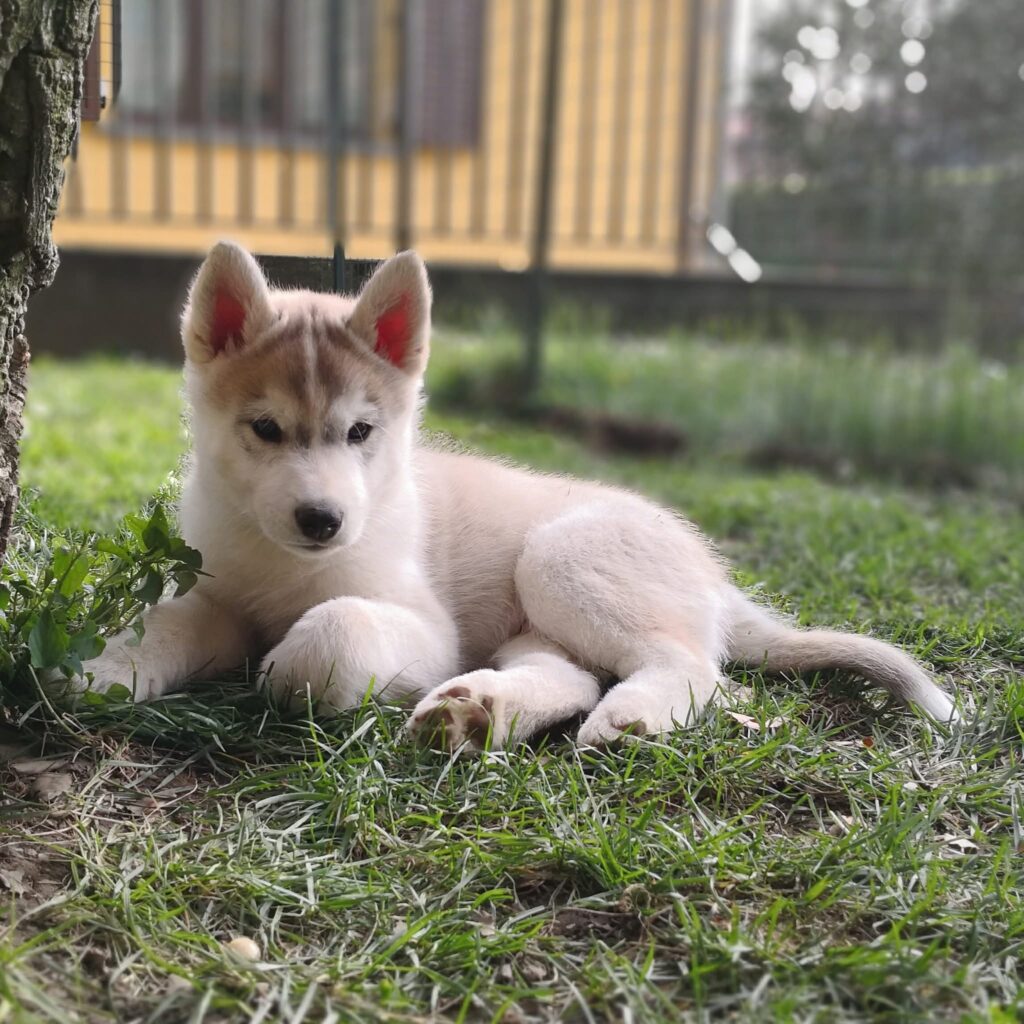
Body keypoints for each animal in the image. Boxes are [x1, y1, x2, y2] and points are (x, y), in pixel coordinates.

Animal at [79, 243, 958, 749]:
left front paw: (282, 667)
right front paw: (110, 662)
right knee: (575, 676)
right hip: (537, 623)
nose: (322, 520)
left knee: (694, 669)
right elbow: (166, 621)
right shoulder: (216, 590)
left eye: (360, 432)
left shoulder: (425, 627)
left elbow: (331, 634)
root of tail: (715, 579)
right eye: (265, 428)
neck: (281, 565)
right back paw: (479, 710)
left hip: (561, 560)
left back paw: (625, 717)